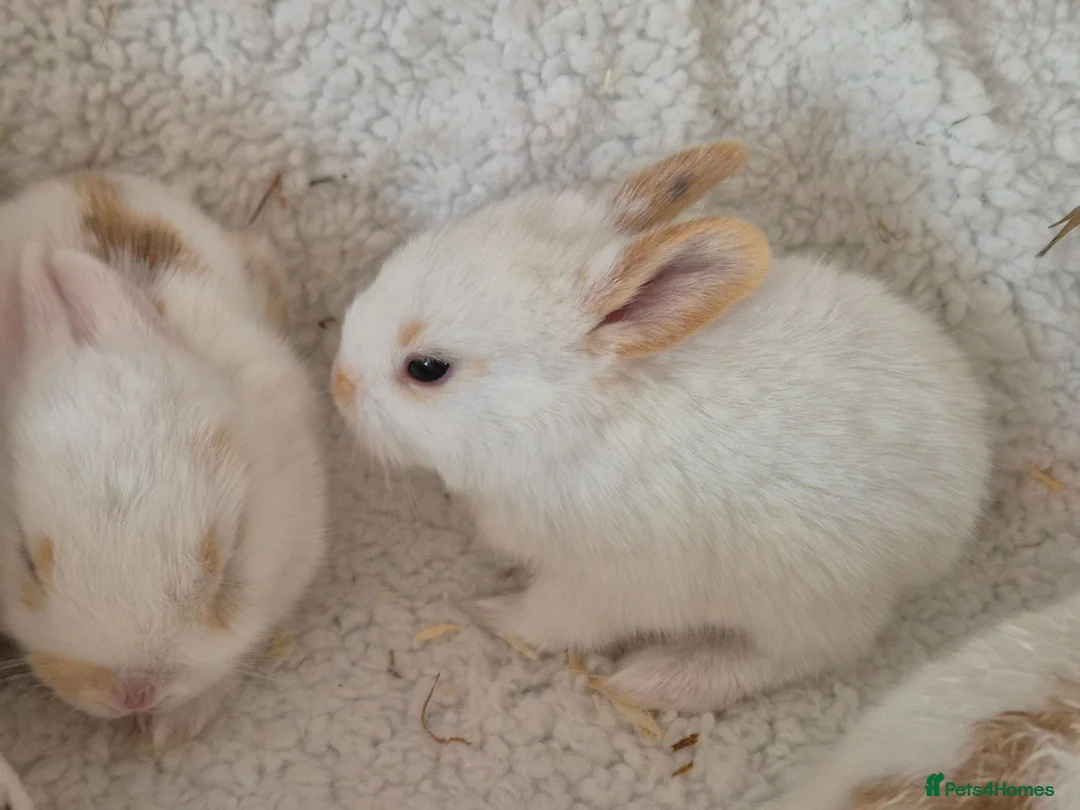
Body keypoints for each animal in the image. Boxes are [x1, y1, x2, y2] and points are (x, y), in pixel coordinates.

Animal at [331, 141, 993, 713]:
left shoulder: (597, 586)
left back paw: (659, 681)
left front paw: (491, 612)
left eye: (426, 368)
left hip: (807, 609)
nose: (339, 385)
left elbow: (550, 622)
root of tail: (965, 493)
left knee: (799, 657)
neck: (572, 416)